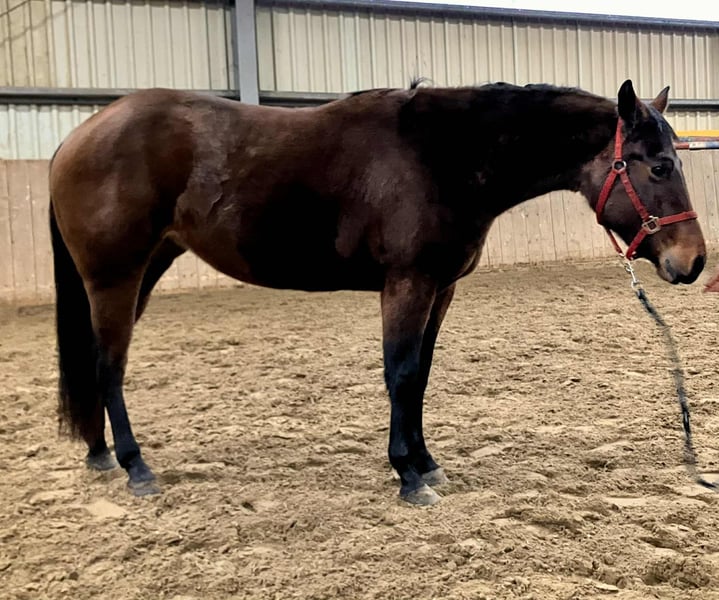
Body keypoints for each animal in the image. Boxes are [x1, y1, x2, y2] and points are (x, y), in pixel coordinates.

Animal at [48, 79, 706, 505]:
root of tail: (77, 136)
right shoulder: (407, 283)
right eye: (656, 166)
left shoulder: (439, 288)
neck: (443, 156)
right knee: (108, 367)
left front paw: (426, 464)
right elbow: (400, 372)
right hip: (115, 277)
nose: (693, 262)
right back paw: (135, 468)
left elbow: (421, 376)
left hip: (143, 270)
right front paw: (407, 476)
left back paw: (100, 455)